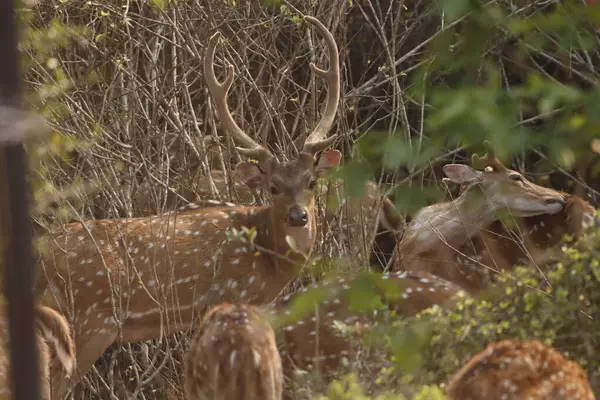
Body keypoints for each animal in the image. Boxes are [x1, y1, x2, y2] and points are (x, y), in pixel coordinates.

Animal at [35, 15, 342, 396]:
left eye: (311, 182)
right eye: (272, 187)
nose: (298, 216)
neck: (268, 259)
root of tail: (42, 255)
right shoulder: (229, 296)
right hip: (90, 318)